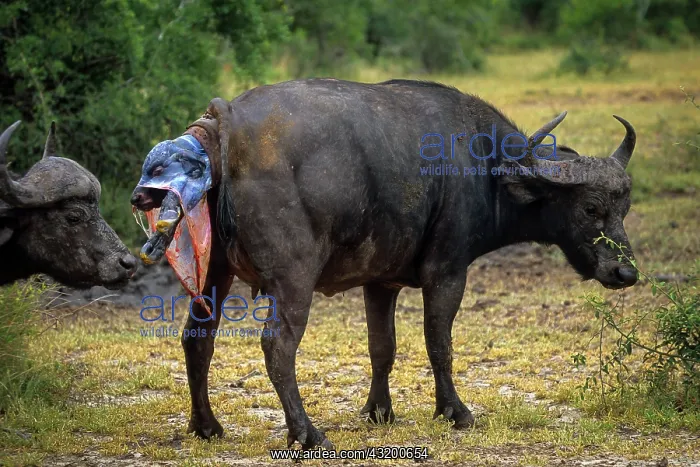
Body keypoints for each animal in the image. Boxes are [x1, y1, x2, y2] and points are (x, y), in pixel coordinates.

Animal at [131, 79, 638, 450]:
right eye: (591, 207)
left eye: (624, 208)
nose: (625, 273)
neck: (484, 165)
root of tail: (225, 123)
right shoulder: (447, 271)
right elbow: (439, 344)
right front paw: (455, 411)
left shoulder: (380, 282)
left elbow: (383, 347)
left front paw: (380, 411)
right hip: (292, 280)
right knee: (277, 347)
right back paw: (306, 432)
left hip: (213, 274)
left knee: (197, 339)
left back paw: (207, 426)